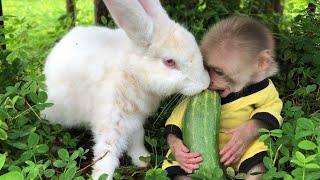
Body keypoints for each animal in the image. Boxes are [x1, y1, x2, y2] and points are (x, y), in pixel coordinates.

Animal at [42, 0, 211, 179]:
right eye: (169, 62)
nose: (205, 83)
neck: (131, 72)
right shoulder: (111, 121)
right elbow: (106, 155)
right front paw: (102, 175)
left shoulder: (135, 120)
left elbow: (137, 138)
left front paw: (143, 159)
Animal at [162, 15, 282, 180]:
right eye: (206, 67)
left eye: (218, 72)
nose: (209, 82)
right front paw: (181, 152)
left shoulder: (267, 90)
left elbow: (267, 112)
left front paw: (240, 136)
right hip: (173, 163)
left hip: (254, 151)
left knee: (255, 164)